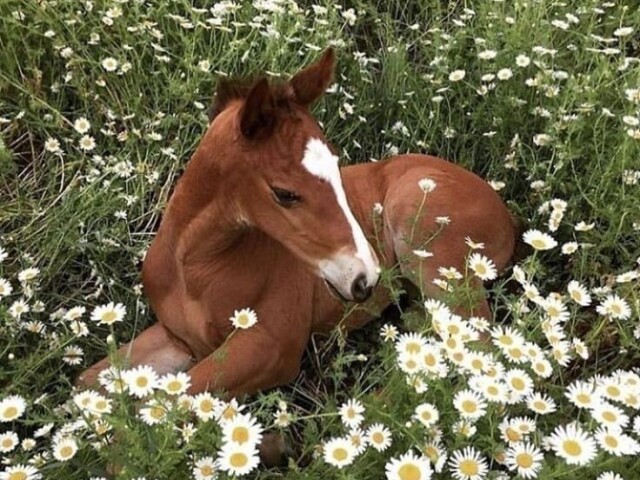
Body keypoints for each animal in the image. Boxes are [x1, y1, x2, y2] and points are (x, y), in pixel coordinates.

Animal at [77, 49, 516, 402]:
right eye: (285, 193)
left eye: (338, 170)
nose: (365, 277)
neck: (193, 269)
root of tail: (508, 216)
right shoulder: (178, 338)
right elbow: (86, 386)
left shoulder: (271, 348)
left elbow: (168, 404)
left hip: (425, 238)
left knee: (477, 347)